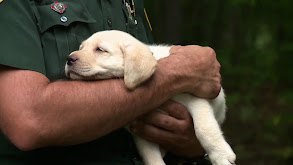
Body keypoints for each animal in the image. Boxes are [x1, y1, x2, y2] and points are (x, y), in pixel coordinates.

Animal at [64, 30, 235, 165]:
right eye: (81, 48)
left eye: (100, 50)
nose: (69, 59)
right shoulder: (141, 131)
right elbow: (151, 156)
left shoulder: (195, 100)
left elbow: (205, 129)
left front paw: (221, 155)